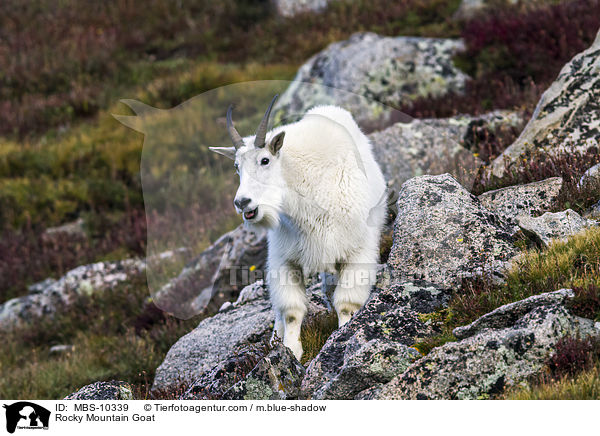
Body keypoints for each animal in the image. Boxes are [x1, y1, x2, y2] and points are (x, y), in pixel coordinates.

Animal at [209, 94, 386, 358]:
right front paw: (291, 349)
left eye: (265, 160)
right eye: (236, 167)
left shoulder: (357, 251)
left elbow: (346, 304)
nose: (242, 202)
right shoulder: (285, 258)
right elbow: (291, 311)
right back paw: (275, 337)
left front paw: (342, 335)